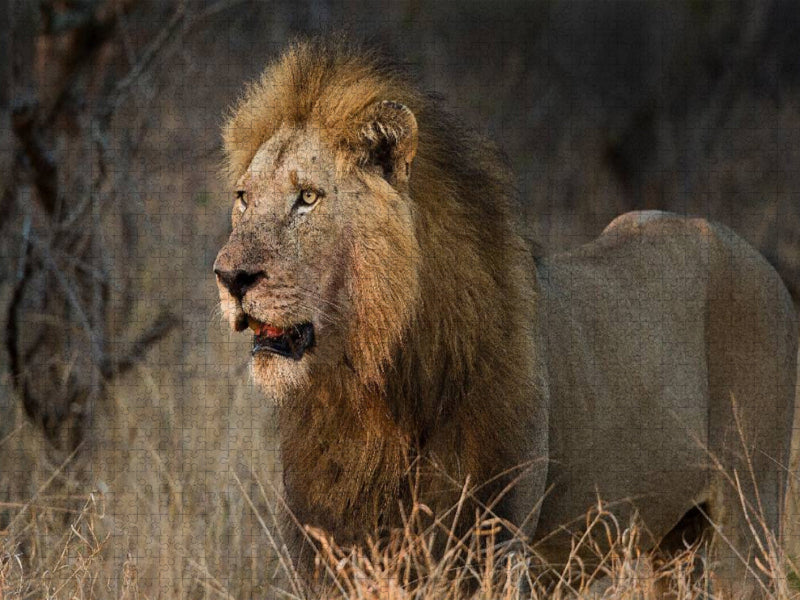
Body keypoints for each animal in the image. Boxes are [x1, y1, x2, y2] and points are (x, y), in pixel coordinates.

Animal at [216, 38, 796, 596]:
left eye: (307, 197)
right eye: (244, 198)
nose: (229, 277)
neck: (365, 386)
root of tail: (754, 254)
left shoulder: (490, 540)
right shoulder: (333, 547)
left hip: (748, 515)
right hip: (674, 547)